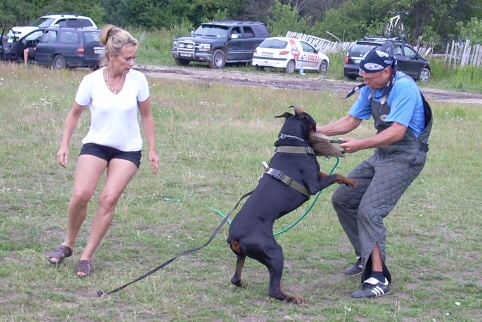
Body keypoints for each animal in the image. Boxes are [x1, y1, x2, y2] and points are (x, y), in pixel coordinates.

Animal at [226, 106, 358, 304]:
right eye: (314, 123)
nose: (323, 134)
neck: (292, 143)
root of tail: (233, 236)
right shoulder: (313, 186)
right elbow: (336, 175)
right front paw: (351, 181)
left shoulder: (318, 175)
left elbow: (329, 174)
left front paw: (349, 181)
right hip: (274, 252)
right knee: (274, 290)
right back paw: (295, 299)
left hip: (243, 255)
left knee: (235, 278)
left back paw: (244, 284)